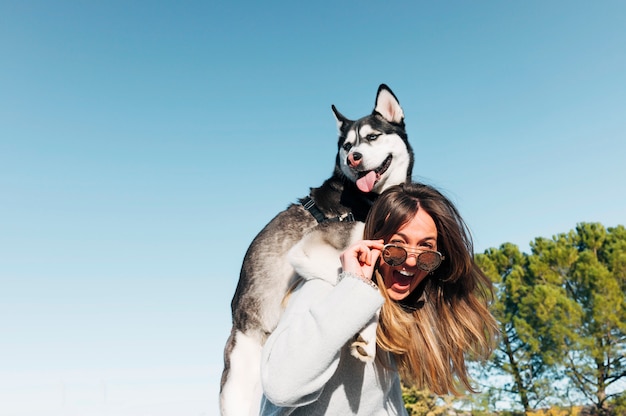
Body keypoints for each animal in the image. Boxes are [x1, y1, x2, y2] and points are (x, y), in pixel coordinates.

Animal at [217, 84, 412, 416]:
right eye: (347, 146)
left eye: (373, 136)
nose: (355, 158)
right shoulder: (313, 250)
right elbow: (369, 288)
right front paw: (367, 334)